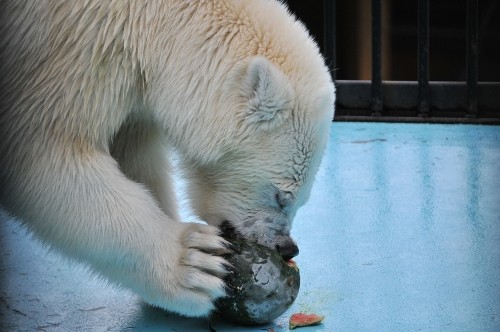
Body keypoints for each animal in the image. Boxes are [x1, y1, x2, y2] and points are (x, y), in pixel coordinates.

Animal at [0, 0, 336, 316]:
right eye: (281, 196)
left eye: (303, 199)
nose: (287, 247)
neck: (150, 18)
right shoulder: (72, 52)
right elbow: (46, 151)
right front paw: (193, 263)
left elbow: (135, 158)